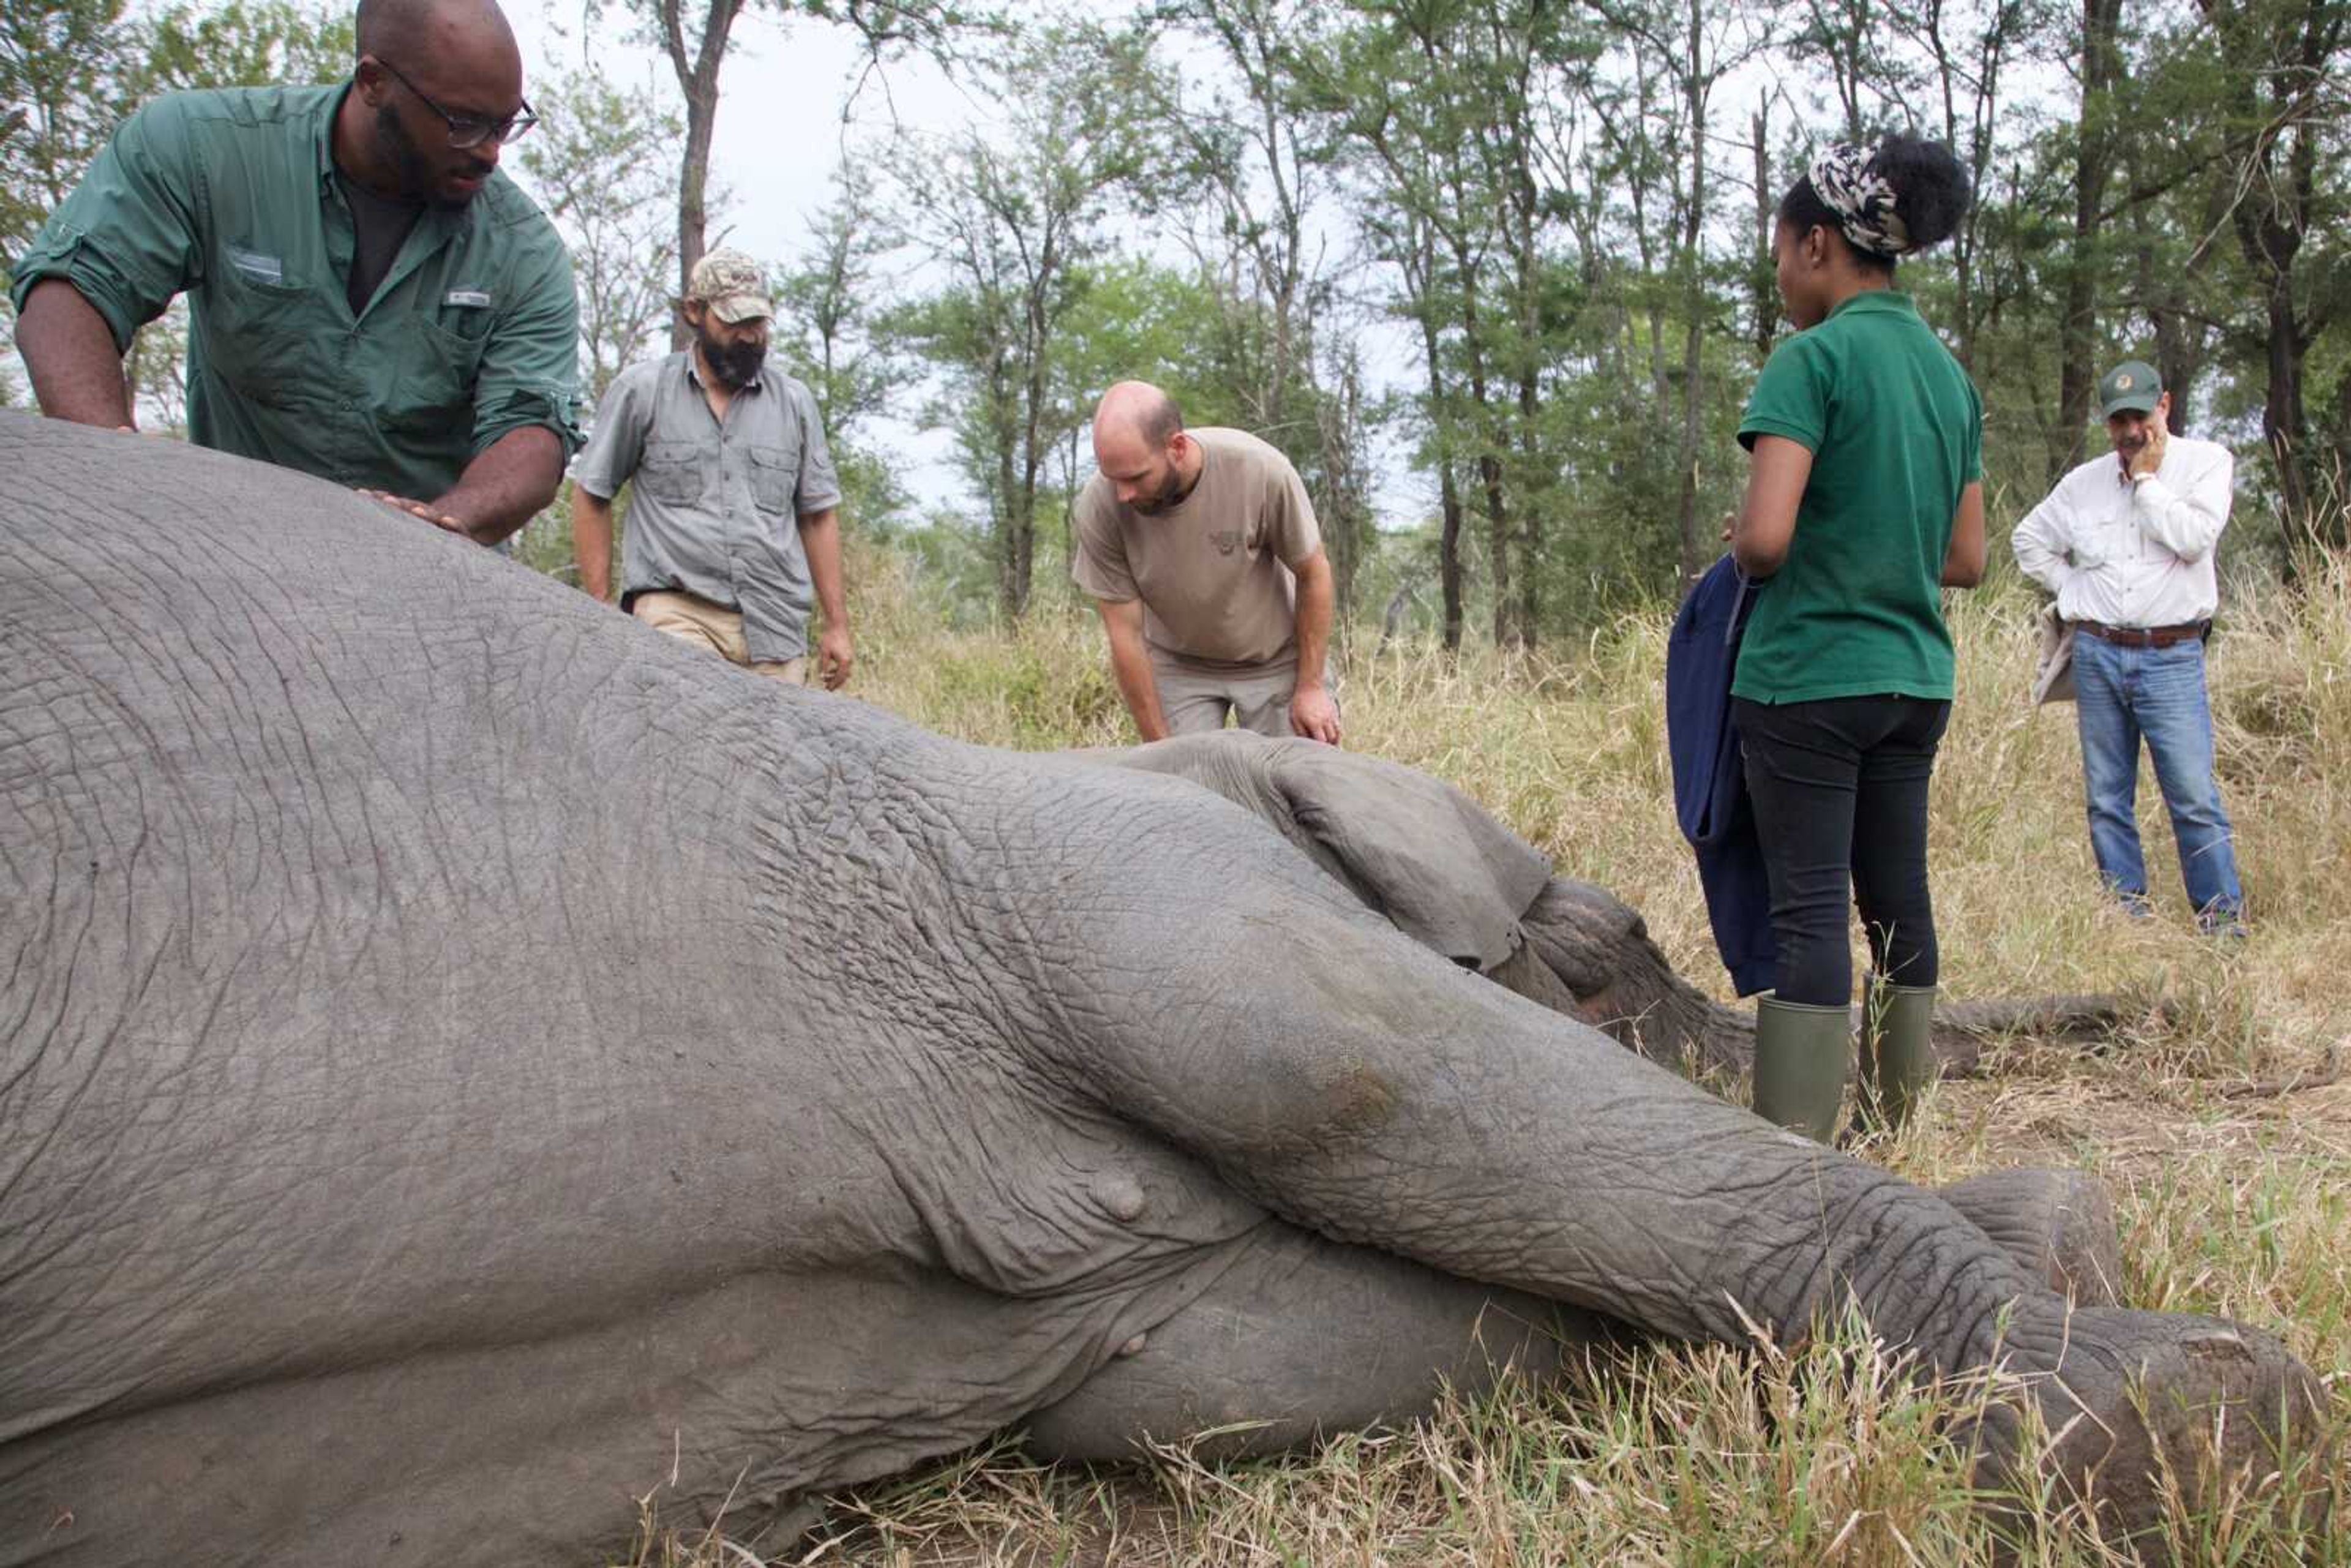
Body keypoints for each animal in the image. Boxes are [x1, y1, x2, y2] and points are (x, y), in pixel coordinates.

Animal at [0, 411, 2322, 1561]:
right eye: (1598, 955)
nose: (2114, 1035)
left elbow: (1240, 1369)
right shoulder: (1136, 890)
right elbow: (1377, 1081)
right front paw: (2198, 1410)